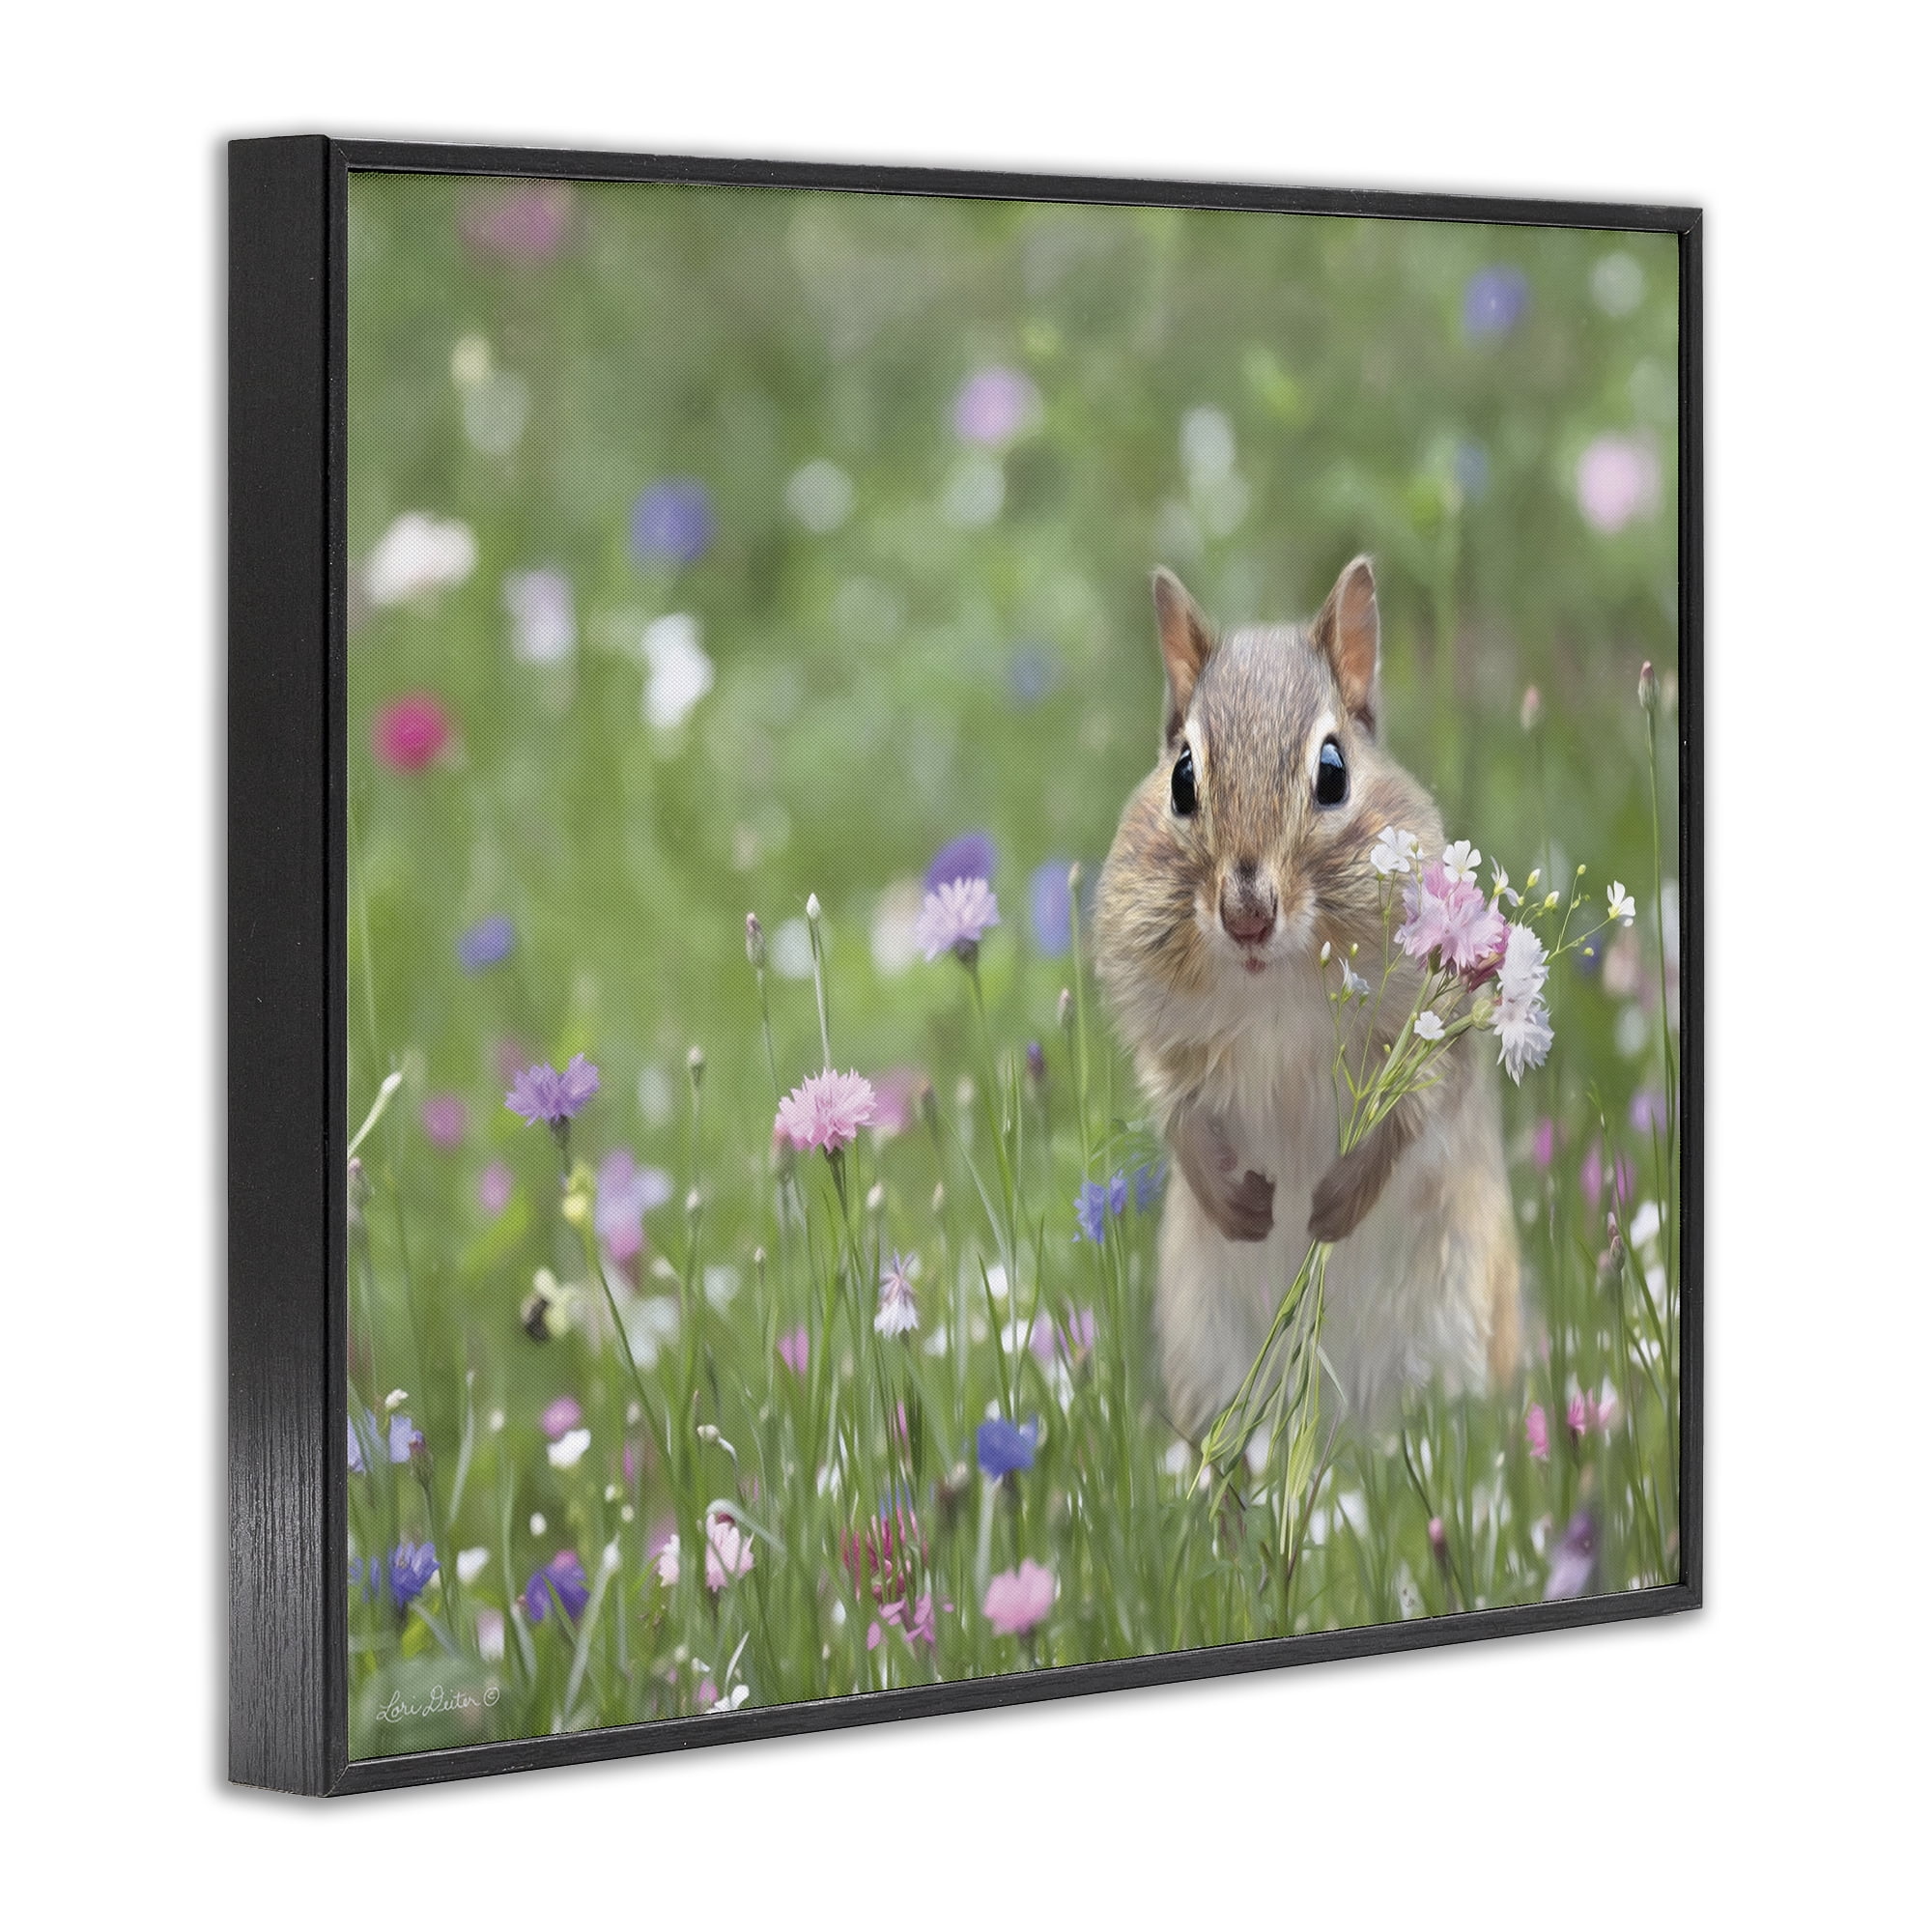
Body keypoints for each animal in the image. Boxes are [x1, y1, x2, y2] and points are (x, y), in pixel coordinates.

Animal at [1093, 557, 1520, 1441]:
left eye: (1333, 772)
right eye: (1181, 777)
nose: (1247, 915)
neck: (1276, 988)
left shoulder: (1431, 1029)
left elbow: (1414, 1111)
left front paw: (1332, 1207)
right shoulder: (1162, 1034)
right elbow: (1176, 1110)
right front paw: (1240, 1206)